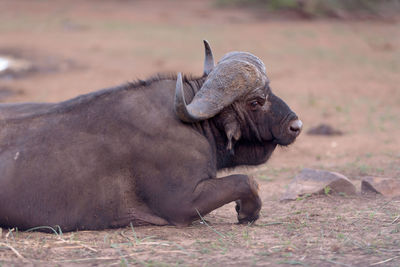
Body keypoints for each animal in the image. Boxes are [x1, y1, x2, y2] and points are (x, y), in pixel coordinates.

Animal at [0, 40, 300, 231]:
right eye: (256, 101)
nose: (295, 125)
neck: (194, 124)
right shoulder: (182, 204)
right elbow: (246, 180)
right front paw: (248, 211)